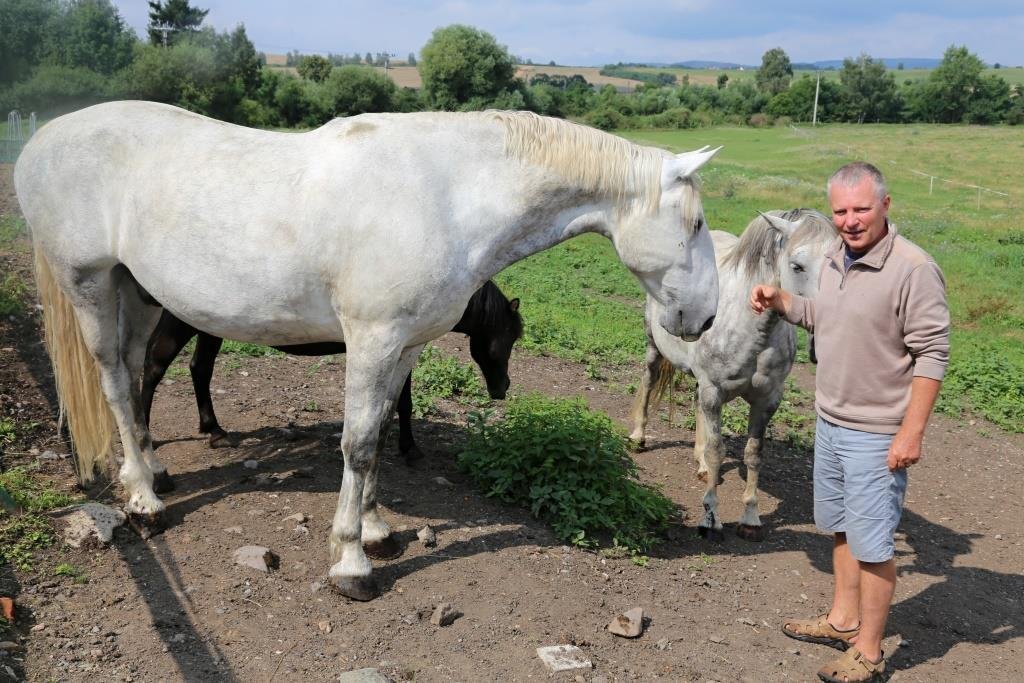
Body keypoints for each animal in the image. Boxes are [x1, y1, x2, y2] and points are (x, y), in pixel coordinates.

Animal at [16, 100, 720, 598]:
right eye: (694, 223)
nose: (706, 317)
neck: (446, 196)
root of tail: (40, 142)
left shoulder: (404, 345)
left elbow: (380, 431)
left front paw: (378, 530)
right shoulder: (372, 340)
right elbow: (356, 443)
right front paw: (351, 562)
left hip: (137, 291)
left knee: (138, 372)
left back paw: (155, 468)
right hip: (90, 285)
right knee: (114, 378)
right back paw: (144, 499)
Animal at [626, 210, 835, 540]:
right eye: (797, 266)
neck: (753, 329)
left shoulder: (767, 401)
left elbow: (753, 453)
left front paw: (750, 517)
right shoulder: (714, 391)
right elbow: (717, 450)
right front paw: (710, 517)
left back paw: (700, 466)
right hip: (653, 346)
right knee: (648, 380)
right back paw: (639, 437)